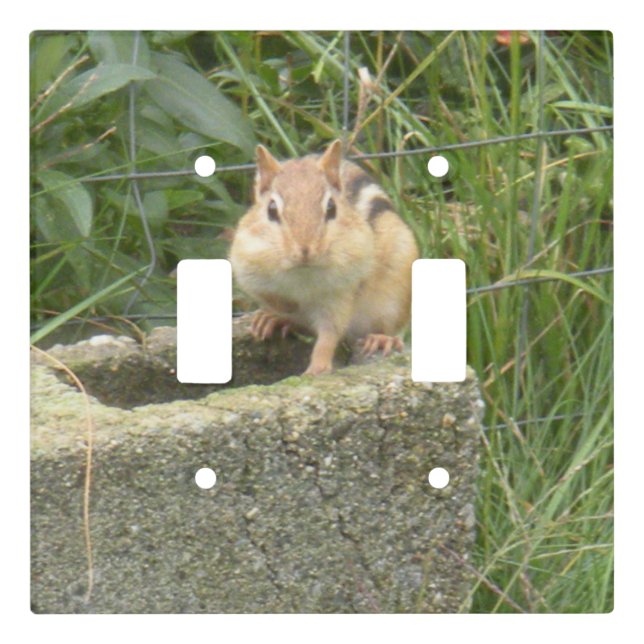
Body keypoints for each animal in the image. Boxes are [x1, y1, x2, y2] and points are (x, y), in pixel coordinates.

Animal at [229, 139, 419, 375]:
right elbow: (274, 298)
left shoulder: (340, 293)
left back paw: (381, 339)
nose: (305, 250)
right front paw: (281, 310)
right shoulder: (248, 263)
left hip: (395, 296)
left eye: (331, 208)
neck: (302, 273)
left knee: (384, 328)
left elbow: (330, 333)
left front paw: (316, 369)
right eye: (271, 209)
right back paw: (274, 319)